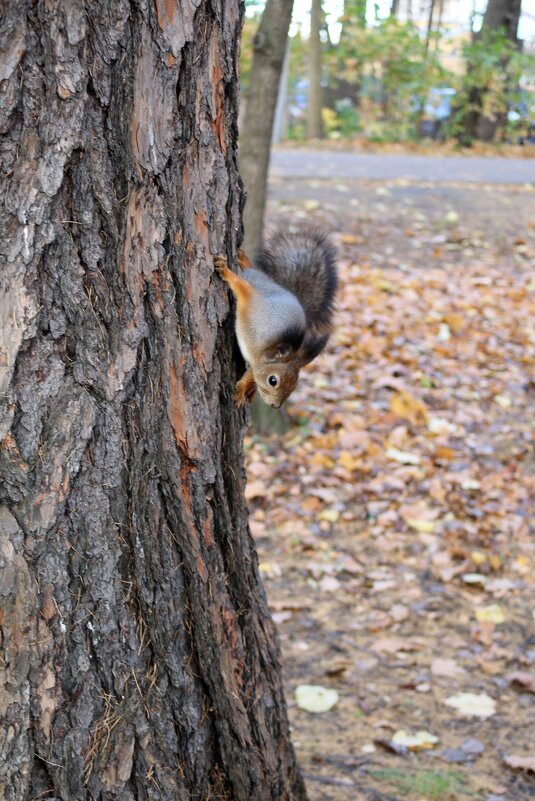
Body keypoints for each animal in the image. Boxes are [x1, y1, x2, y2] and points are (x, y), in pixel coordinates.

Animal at [215, 230, 338, 406]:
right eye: (273, 380)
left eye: (294, 386)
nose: (275, 405)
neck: (260, 348)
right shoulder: (254, 302)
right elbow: (241, 286)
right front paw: (226, 271)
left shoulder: (257, 362)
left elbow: (251, 374)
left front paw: (243, 389)